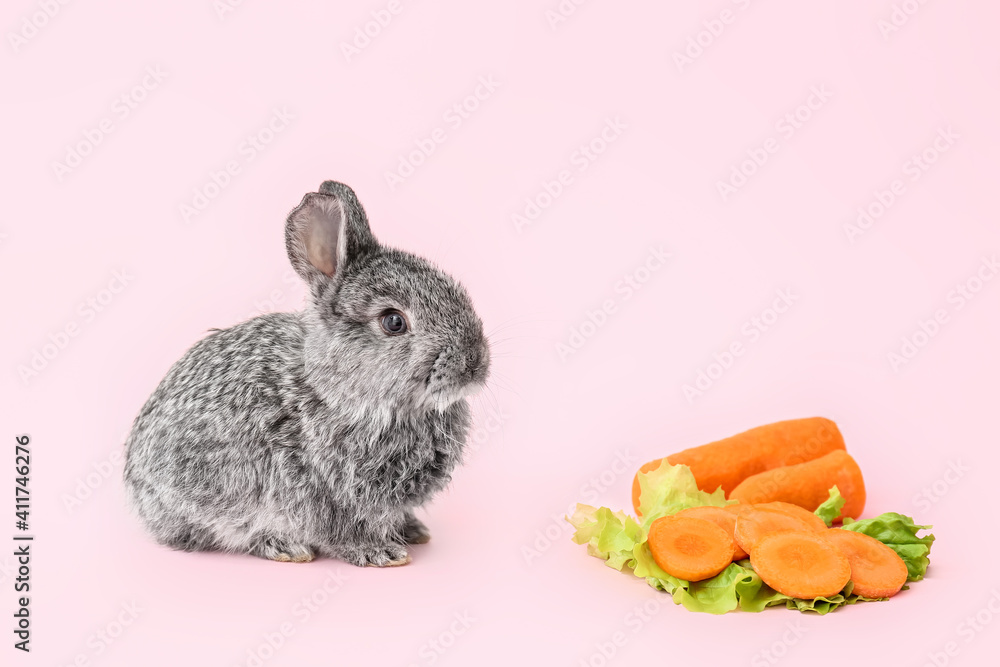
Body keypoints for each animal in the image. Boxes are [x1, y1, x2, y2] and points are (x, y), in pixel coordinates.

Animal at [123, 180, 490, 568]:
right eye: (393, 322)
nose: (474, 363)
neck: (336, 392)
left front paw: (413, 530)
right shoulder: (321, 490)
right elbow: (342, 531)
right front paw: (380, 552)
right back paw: (284, 547)